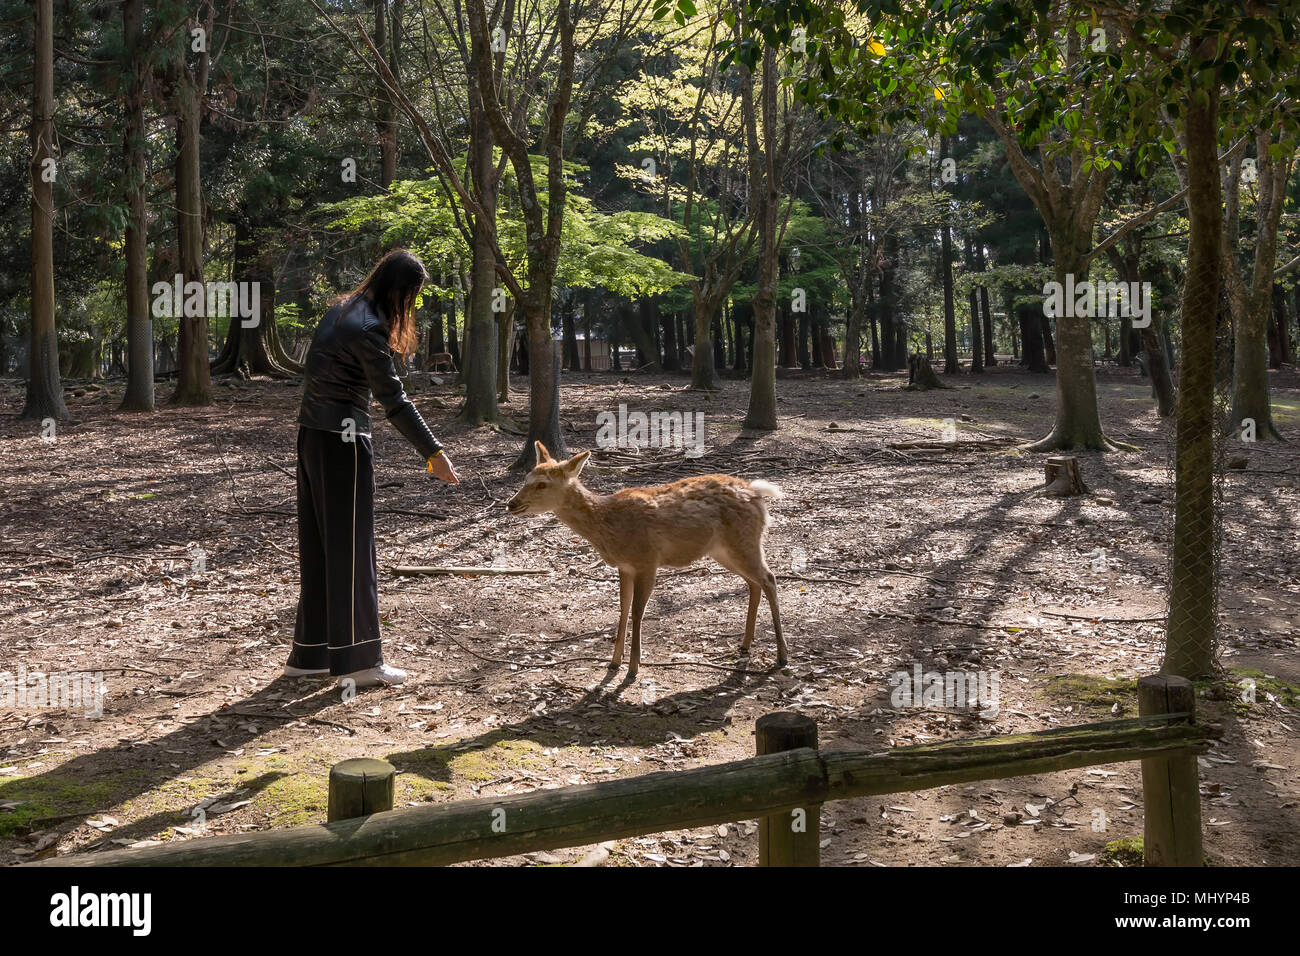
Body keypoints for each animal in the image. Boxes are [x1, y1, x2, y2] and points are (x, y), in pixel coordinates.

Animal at [504, 442, 785, 676]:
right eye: (526, 478)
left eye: (542, 484)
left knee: (769, 578)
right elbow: (623, 608)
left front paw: (633, 668)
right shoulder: (625, 566)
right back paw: (745, 645)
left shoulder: (647, 560)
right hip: (724, 550)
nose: (511, 504)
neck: (609, 526)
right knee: (754, 582)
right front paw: (614, 662)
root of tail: (757, 492)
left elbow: (638, 611)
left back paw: (782, 655)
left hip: (744, 541)